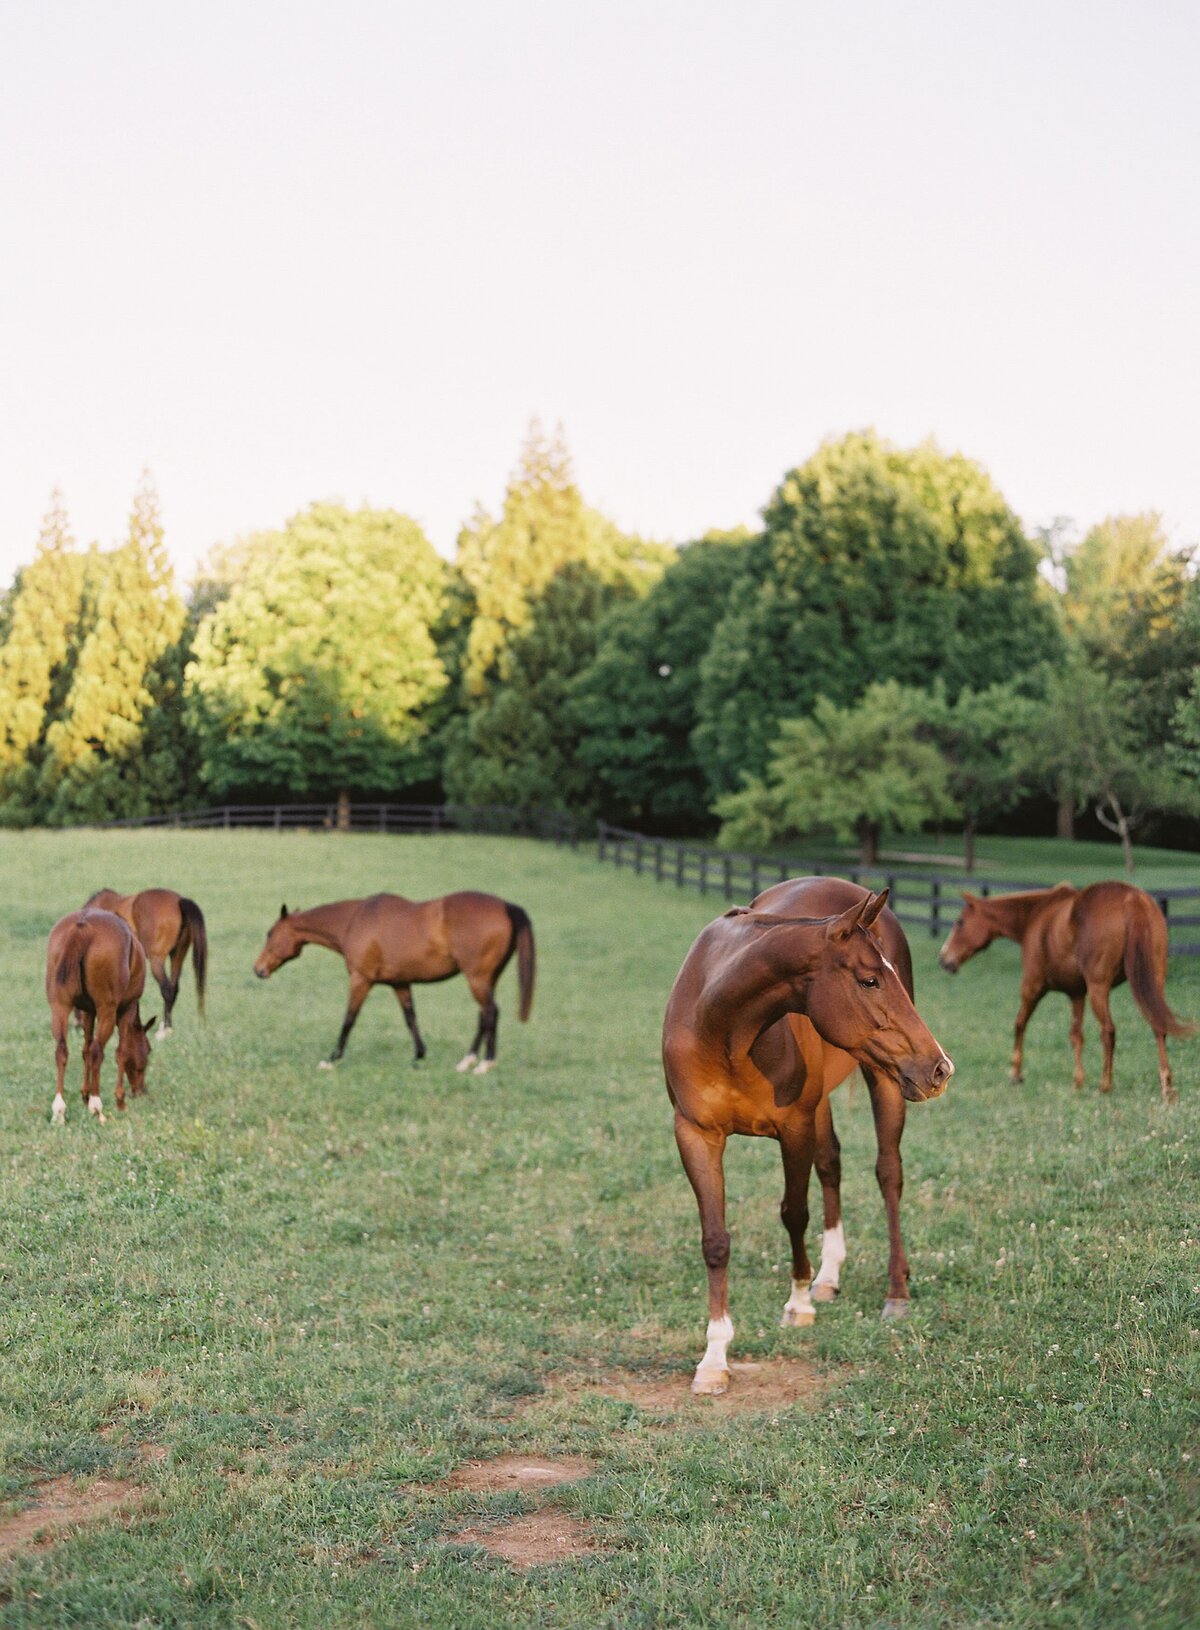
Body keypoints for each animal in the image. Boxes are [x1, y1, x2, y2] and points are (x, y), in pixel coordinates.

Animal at [46, 912, 154, 1127]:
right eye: (148, 1049)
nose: (140, 1090)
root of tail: (82, 927)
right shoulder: (126, 1009)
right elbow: (121, 1052)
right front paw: (119, 1100)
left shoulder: (88, 1012)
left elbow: (85, 1050)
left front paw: (85, 1094)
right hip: (107, 1011)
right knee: (97, 1051)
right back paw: (97, 1108)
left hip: (59, 1007)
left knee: (62, 1050)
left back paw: (59, 1110)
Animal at [85, 886, 208, 1036]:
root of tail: (179, 901)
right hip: (178, 954)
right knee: (174, 988)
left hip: (157, 960)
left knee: (166, 989)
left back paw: (165, 1029)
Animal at [255, 886, 538, 1075]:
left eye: (270, 934)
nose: (258, 969)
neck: (354, 921)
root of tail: (506, 906)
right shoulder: (400, 983)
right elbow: (410, 1018)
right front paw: (419, 1055)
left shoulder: (361, 980)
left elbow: (349, 1019)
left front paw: (332, 1058)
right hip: (487, 979)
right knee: (484, 1015)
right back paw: (466, 1061)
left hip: (477, 979)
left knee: (491, 1012)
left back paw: (485, 1064)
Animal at [661, 886, 952, 1395]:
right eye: (870, 981)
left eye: (888, 976)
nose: (940, 1068)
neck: (723, 1028)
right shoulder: (695, 1135)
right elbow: (715, 1241)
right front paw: (714, 1358)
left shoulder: (793, 1128)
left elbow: (794, 1214)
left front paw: (797, 1304)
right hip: (824, 1103)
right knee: (831, 1165)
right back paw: (828, 1276)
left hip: (886, 1080)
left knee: (888, 1174)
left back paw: (896, 1293)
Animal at [945, 880, 1193, 1108]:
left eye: (960, 922)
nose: (944, 958)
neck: (1036, 916)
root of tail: (1132, 898)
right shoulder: (1077, 994)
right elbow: (1076, 1036)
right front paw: (1077, 1082)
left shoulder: (1032, 987)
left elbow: (1019, 1023)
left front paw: (1016, 1073)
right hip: (1153, 983)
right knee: (1158, 1025)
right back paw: (1167, 1087)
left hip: (1098, 988)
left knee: (1108, 1031)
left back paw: (1105, 1085)